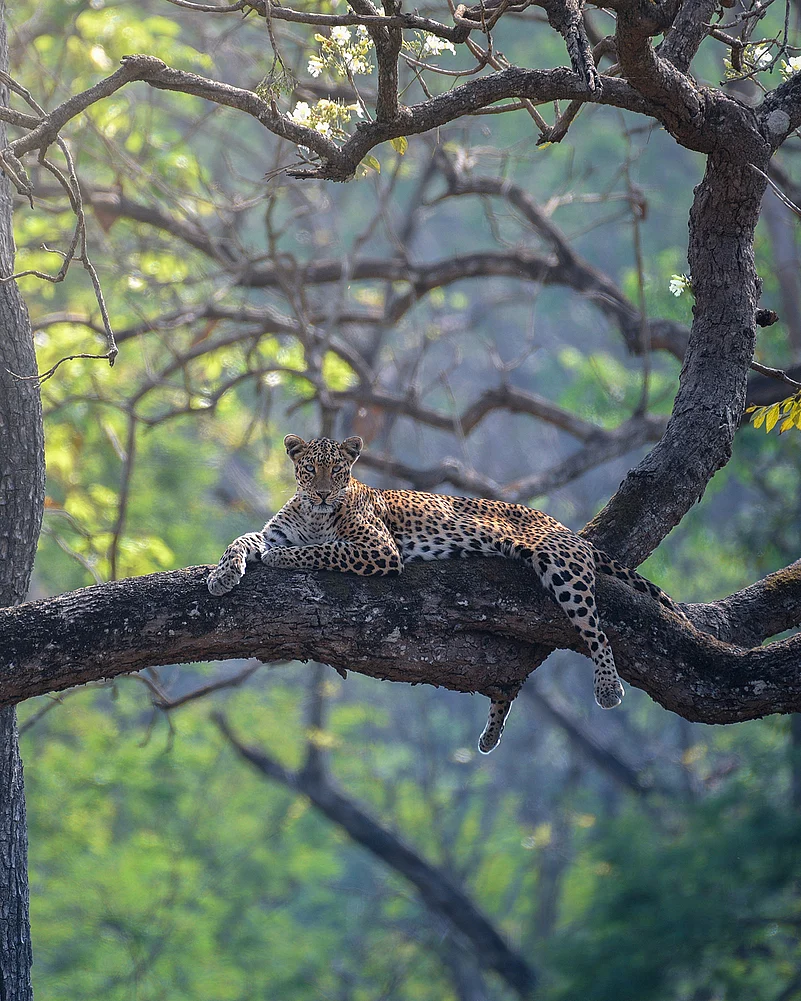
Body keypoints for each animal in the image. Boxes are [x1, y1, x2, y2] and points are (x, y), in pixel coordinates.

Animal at [208, 434, 685, 753]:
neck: (313, 513)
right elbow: (242, 540)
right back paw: (491, 735)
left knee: (596, 631)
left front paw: (281, 559)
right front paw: (222, 575)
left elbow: (319, 550)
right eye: (310, 469)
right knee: (509, 680)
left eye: (337, 470)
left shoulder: (377, 549)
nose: (324, 492)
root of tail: (563, 526)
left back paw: (607, 687)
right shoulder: (276, 533)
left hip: (560, 566)